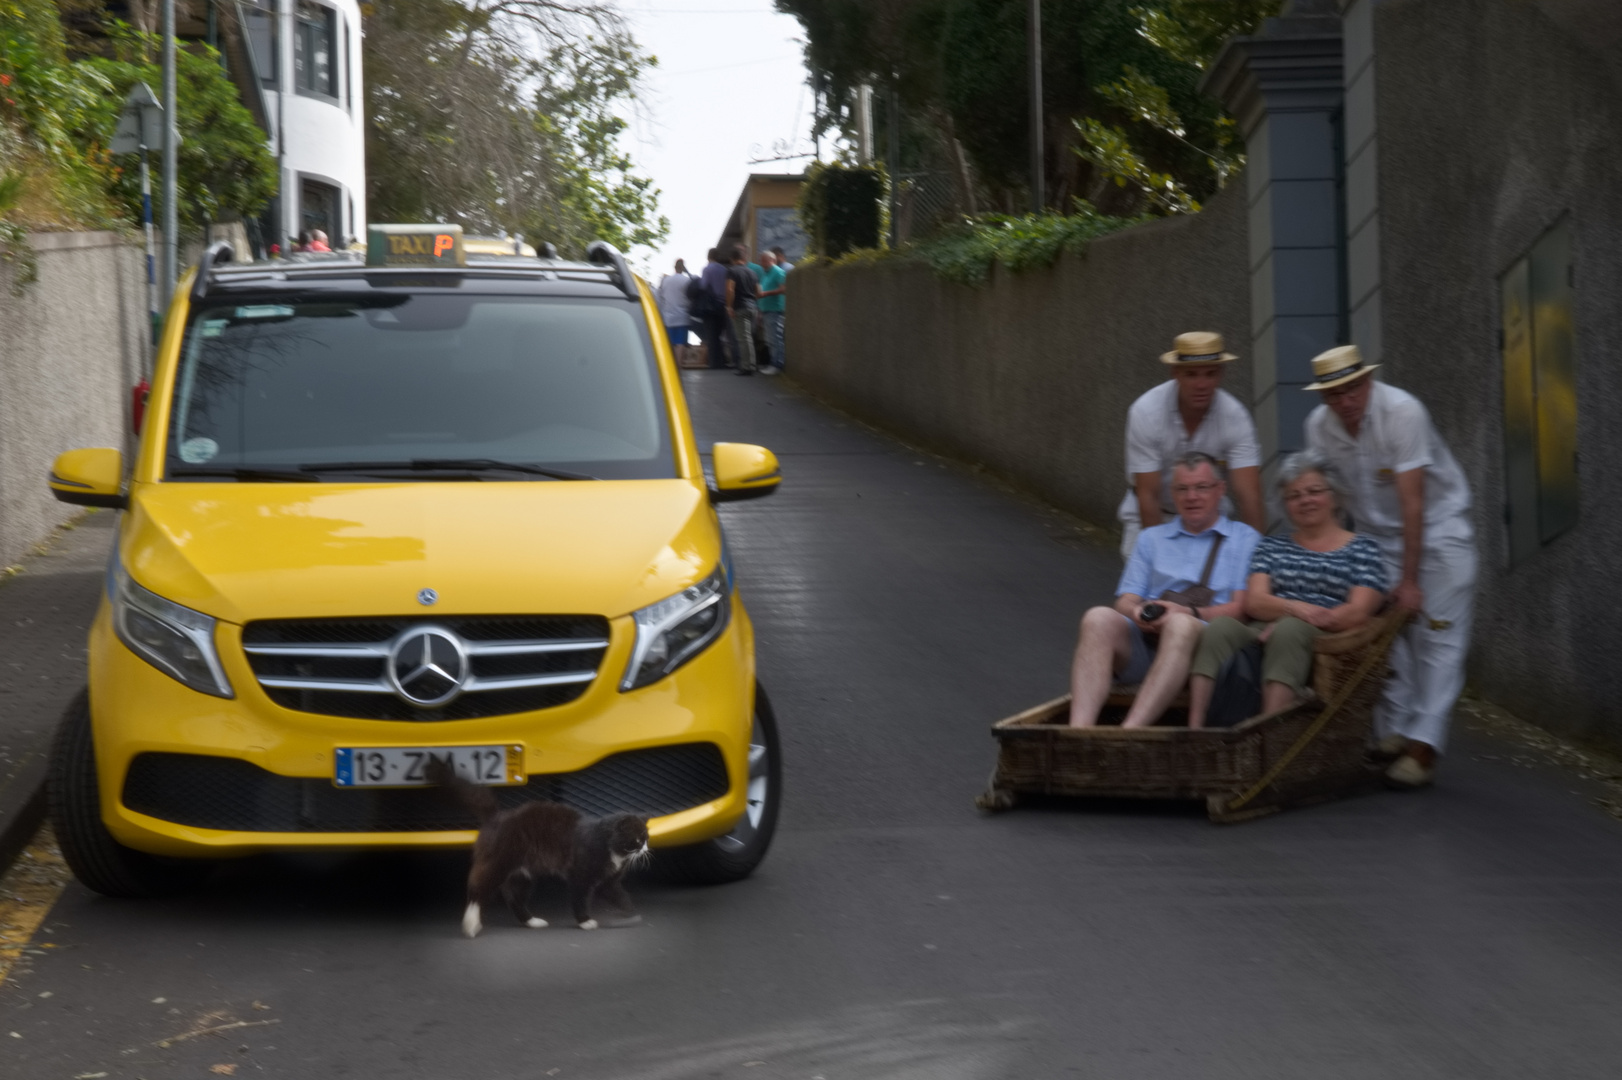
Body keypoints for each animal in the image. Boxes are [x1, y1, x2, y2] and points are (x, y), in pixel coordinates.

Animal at [431, 755, 658, 934]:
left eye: (646, 838)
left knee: (514, 898)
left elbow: (619, 894)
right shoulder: (580, 874)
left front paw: (630, 911)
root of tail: (496, 817)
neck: (612, 849)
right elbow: (579, 898)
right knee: (478, 887)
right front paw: (585, 922)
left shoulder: (607, 880)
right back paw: (471, 923)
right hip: (498, 862)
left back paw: (532, 921)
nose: (646, 849)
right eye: (637, 840)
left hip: (523, 874)